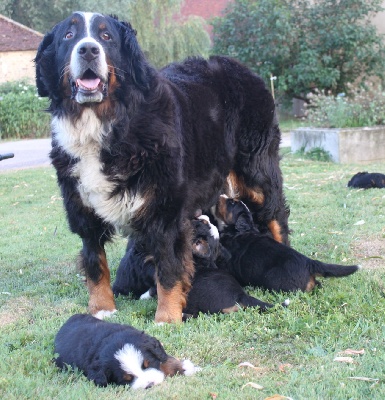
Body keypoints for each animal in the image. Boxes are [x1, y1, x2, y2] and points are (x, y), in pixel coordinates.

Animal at [35, 12, 288, 324]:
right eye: (68, 36)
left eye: (106, 37)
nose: (88, 50)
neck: (105, 124)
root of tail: (242, 69)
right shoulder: (82, 207)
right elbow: (95, 262)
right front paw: (101, 308)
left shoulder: (166, 208)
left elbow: (169, 266)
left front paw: (166, 317)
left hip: (257, 171)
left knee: (276, 216)